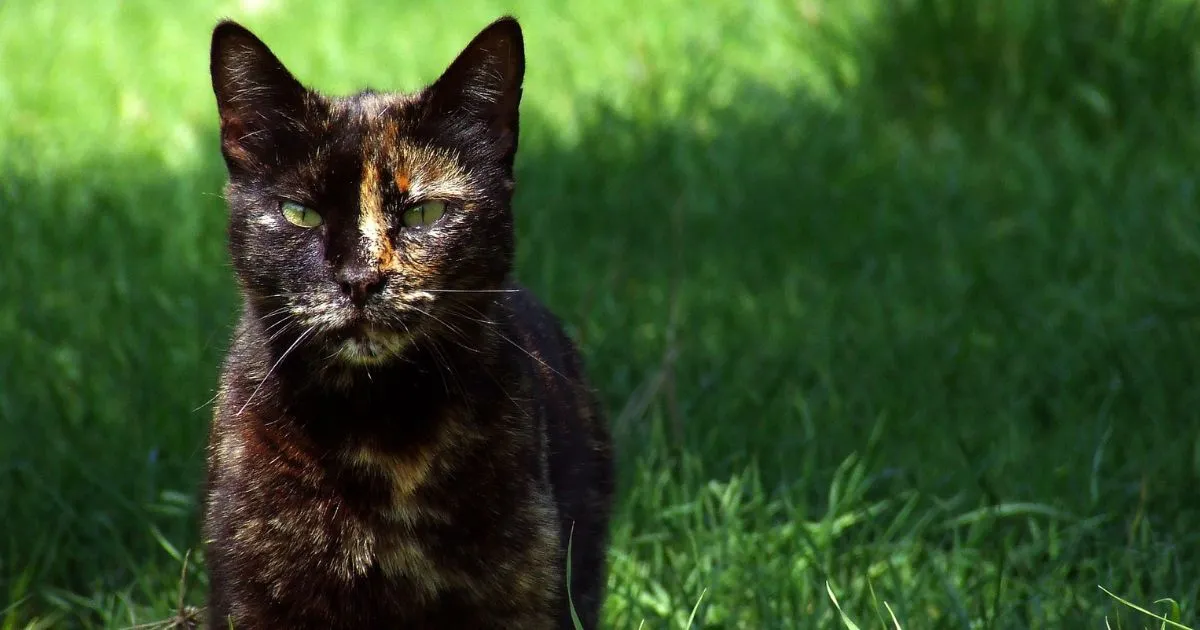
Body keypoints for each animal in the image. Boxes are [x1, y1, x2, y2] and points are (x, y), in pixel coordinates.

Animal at [201, 15, 614, 628]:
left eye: (424, 212)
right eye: (301, 213)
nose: (359, 279)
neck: (382, 425)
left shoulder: (520, 598)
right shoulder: (252, 596)